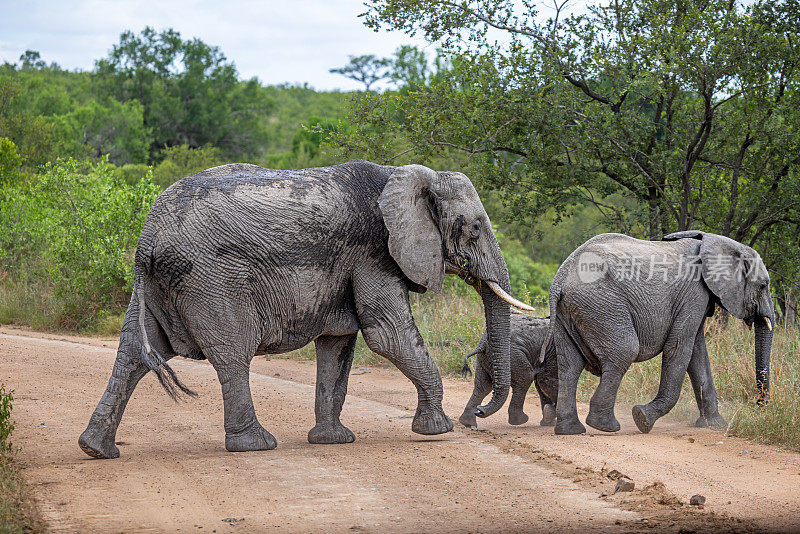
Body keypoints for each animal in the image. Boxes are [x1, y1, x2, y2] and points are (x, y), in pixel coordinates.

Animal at [79, 160, 532, 460]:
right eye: (475, 228)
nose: (478, 416)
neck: (407, 175)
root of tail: (147, 235)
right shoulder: (374, 252)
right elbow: (388, 334)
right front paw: (436, 429)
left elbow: (338, 346)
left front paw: (334, 440)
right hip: (210, 281)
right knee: (231, 354)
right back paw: (255, 445)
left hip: (158, 285)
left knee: (134, 352)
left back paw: (97, 449)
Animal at [548, 232, 772, 438]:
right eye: (763, 285)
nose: (760, 405)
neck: (717, 242)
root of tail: (560, 278)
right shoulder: (693, 293)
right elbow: (680, 347)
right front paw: (642, 419)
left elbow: (697, 352)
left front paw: (715, 425)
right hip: (601, 305)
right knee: (625, 352)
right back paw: (605, 426)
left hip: (570, 312)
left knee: (569, 365)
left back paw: (571, 430)